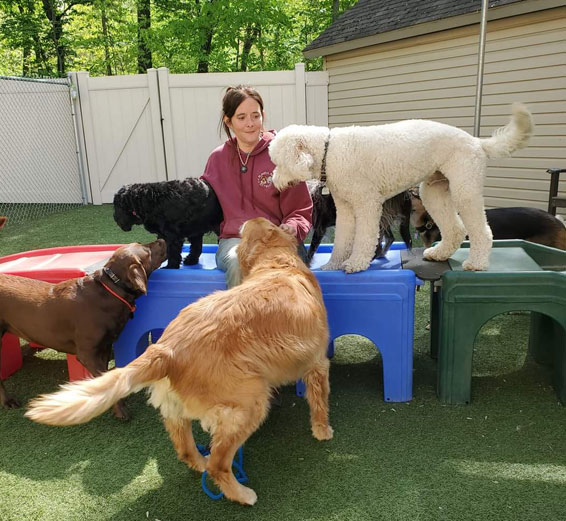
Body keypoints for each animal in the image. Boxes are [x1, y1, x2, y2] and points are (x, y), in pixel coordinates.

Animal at [0, 238, 168, 416]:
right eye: (147, 250)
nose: (161, 239)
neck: (111, 288)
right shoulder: (88, 354)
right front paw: (120, 409)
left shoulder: (105, 347)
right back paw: (8, 401)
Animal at [27, 217, 332, 506]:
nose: (243, 221)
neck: (276, 264)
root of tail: (167, 348)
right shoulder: (317, 362)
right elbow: (319, 399)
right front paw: (322, 429)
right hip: (250, 403)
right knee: (219, 465)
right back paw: (241, 493)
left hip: (176, 408)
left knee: (186, 450)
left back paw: (200, 462)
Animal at [272, 102, 536, 272]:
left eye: (279, 162)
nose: (273, 182)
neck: (330, 150)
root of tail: (477, 142)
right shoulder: (345, 209)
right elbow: (343, 240)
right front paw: (333, 264)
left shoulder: (367, 204)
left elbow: (364, 238)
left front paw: (356, 264)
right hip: (434, 192)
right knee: (456, 229)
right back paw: (439, 254)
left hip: (465, 190)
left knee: (482, 231)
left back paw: (477, 263)